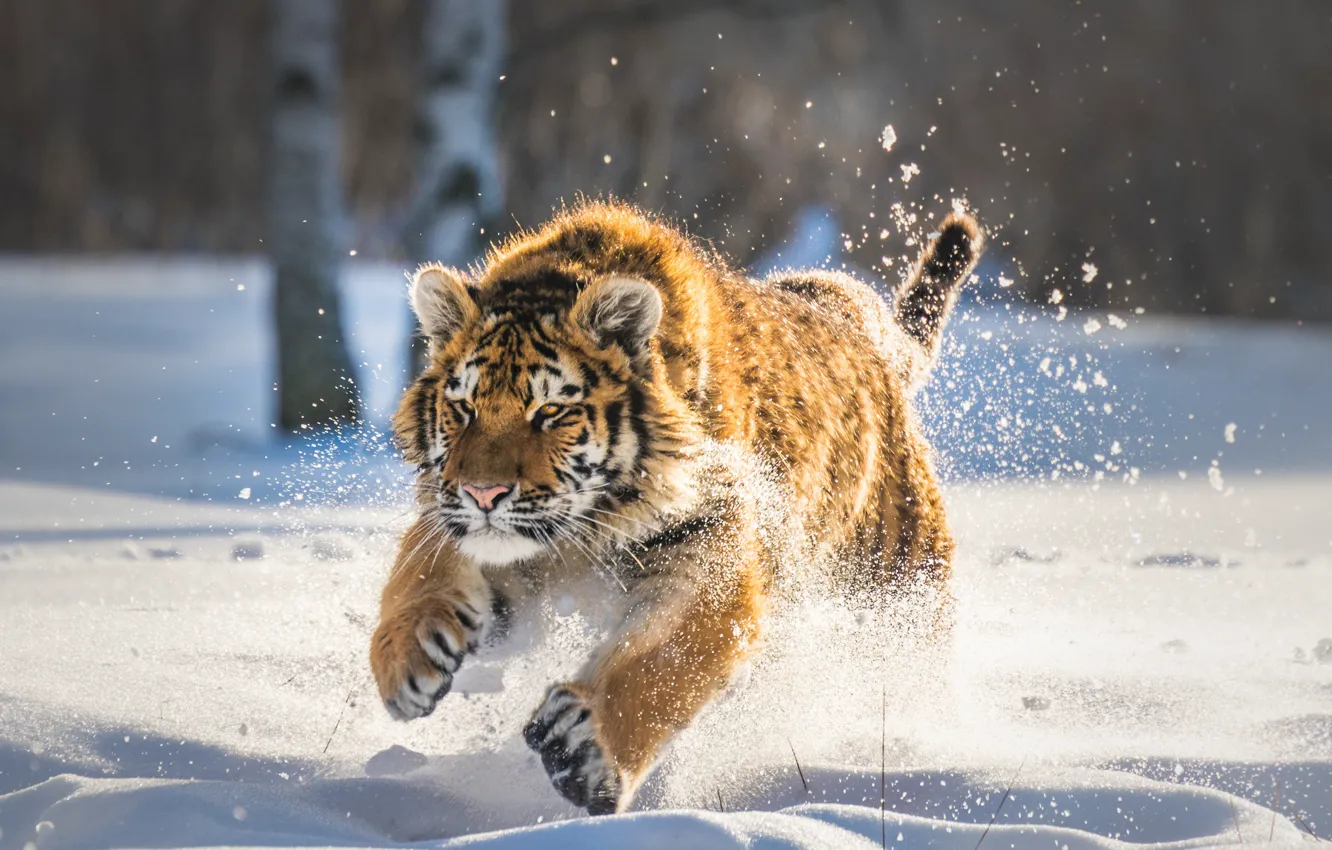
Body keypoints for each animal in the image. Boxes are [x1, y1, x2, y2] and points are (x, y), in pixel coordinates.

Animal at [369, 200, 983, 815]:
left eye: (550, 411)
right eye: (463, 407)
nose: (483, 494)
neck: (581, 531)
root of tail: (864, 327)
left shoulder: (711, 554)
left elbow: (662, 662)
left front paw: (585, 749)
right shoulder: (471, 527)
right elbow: (419, 568)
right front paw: (405, 658)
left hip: (899, 591)